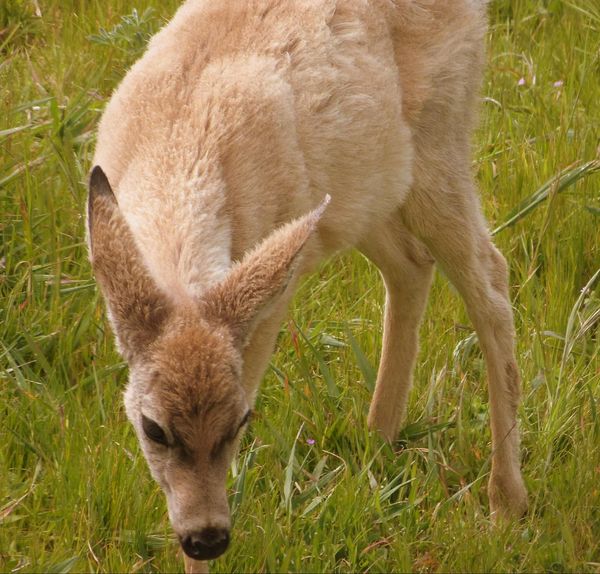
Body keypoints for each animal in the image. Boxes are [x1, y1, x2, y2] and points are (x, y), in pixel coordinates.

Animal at [86, 0, 528, 572]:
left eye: (241, 421)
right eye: (152, 428)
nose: (208, 537)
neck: (181, 143)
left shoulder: (272, 292)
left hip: (440, 140)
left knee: (490, 278)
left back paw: (506, 503)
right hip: (362, 195)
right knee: (411, 264)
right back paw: (378, 439)